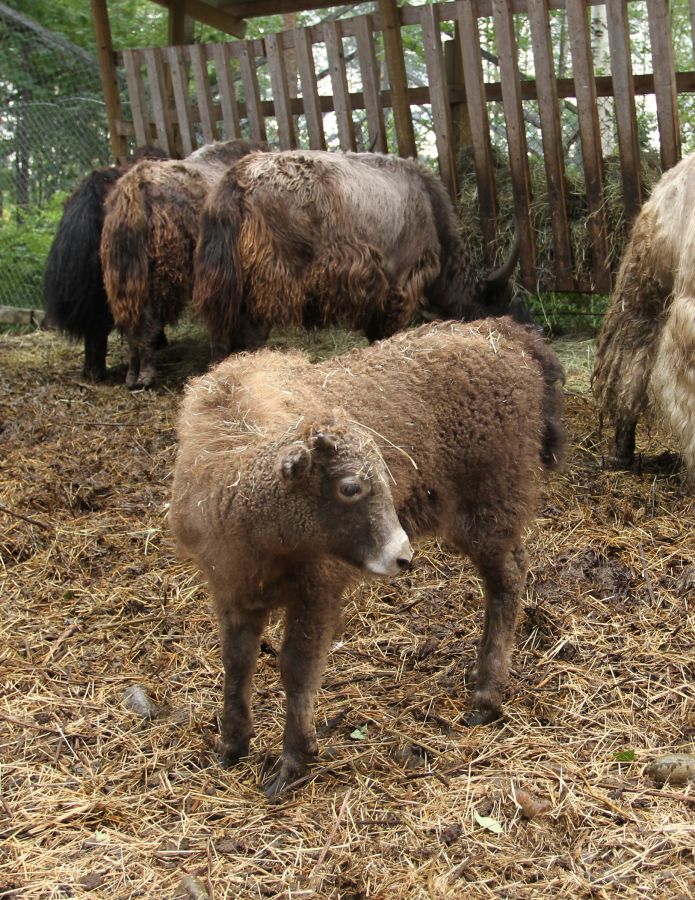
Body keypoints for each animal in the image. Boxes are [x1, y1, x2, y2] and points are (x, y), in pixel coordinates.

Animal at [100, 138, 266, 386]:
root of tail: (133, 193)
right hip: (160, 277)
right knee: (149, 323)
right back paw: (145, 375)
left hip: (125, 280)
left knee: (133, 327)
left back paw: (133, 375)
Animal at [170, 322, 564, 796]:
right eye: (350, 487)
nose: (401, 556)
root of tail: (501, 334)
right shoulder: (233, 590)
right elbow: (237, 662)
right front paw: (231, 745)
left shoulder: (316, 591)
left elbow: (296, 668)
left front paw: (293, 761)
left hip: (490, 509)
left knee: (506, 581)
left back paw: (486, 696)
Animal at [190, 151, 528, 356]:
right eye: (502, 309)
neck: (431, 212)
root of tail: (236, 183)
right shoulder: (399, 285)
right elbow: (385, 333)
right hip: (267, 284)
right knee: (251, 333)